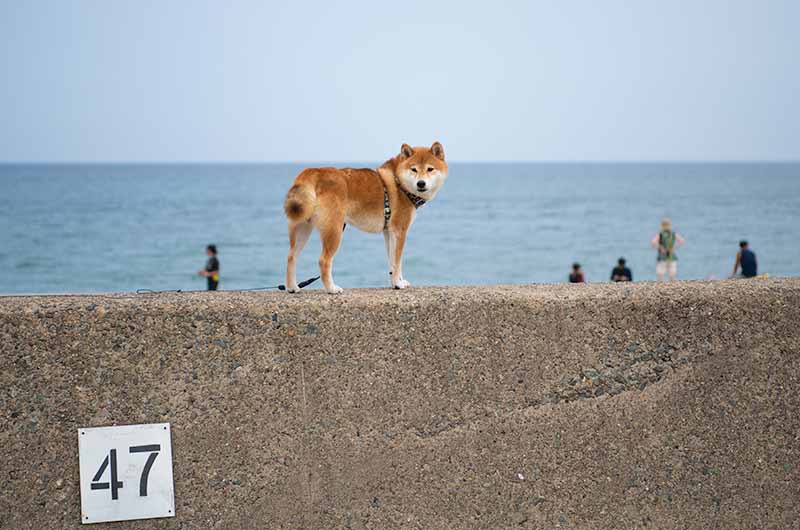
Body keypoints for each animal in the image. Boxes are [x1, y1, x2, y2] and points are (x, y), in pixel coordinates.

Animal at [282, 141, 446, 292]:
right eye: (414, 169)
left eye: (430, 169)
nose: (421, 183)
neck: (399, 183)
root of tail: (314, 172)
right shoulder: (400, 231)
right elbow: (398, 262)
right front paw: (398, 284)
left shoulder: (389, 232)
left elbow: (392, 262)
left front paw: (396, 282)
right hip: (334, 230)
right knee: (323, 261)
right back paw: (331, 289)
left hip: (302, 228)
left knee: (291, 257)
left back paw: (292, 287)